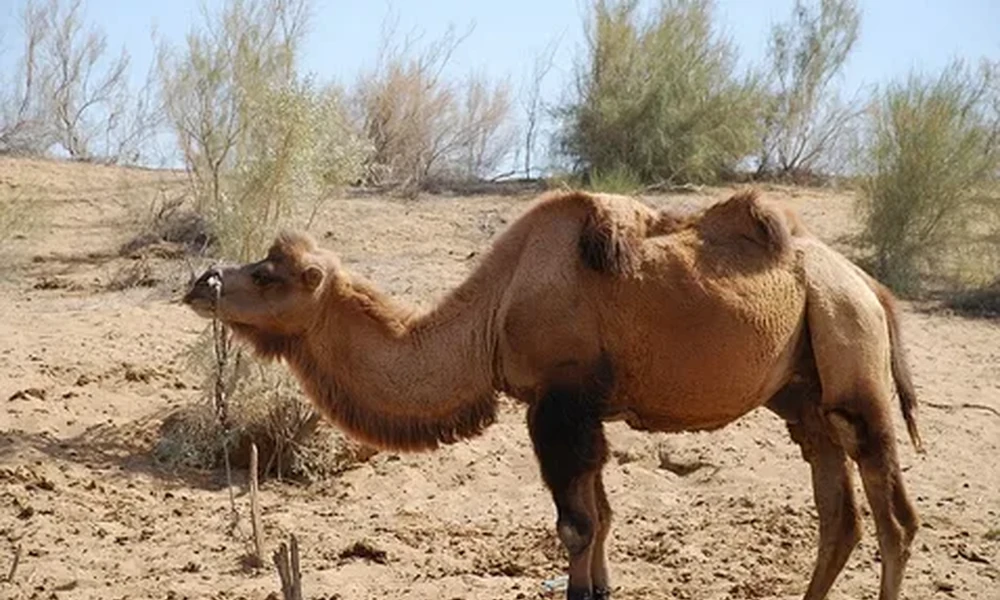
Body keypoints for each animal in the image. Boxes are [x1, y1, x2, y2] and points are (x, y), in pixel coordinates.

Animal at [182, 189, 921, 600]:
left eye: (271, 274)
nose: (200, 282)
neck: (494, 312)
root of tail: (871, 288)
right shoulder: (583, 411)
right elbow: (602, 516)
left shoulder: (558, 403)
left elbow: (577, 524)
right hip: (804, 393)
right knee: (839, 514)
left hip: (850, 356)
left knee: (893, 519)